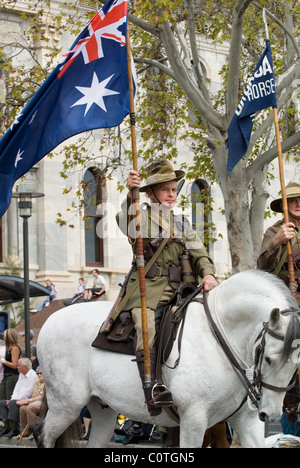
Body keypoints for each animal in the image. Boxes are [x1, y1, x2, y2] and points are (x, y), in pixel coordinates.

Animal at [36, 272, 300, 448]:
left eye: (296, 366)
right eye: (268, 359)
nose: (270, 415)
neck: (221, 338)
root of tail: (50, 320)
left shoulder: (245, 422)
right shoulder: (194, 421)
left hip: (102, 409)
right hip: (66, 405)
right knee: (44, 435)